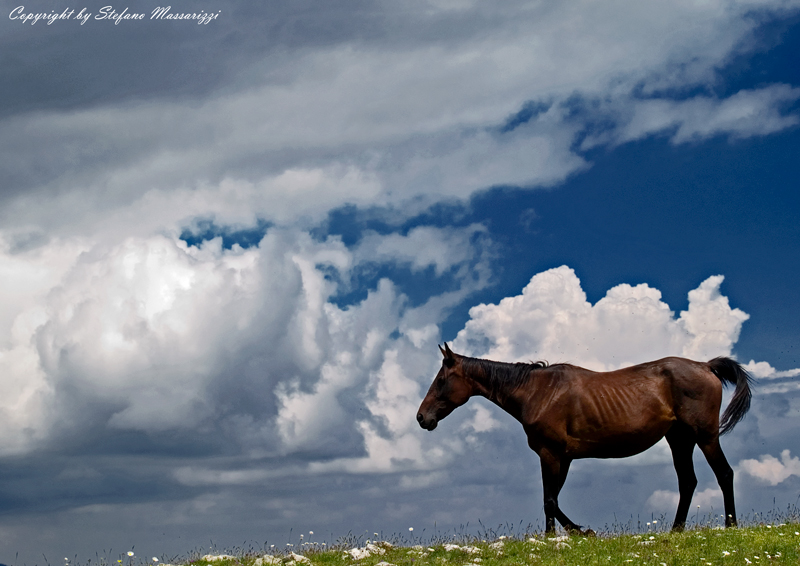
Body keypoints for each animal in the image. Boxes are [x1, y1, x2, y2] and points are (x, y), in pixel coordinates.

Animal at [416, 343, 753, 535]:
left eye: (442, 380)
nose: (422, 418)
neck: (537, 392)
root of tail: (705, 366)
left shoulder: (551, 454)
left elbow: (550, 500)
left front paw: (576, 532)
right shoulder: (561, 457)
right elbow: (549, 499)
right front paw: (555, 536)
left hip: (705, 436)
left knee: (724, 474)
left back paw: (731, 526)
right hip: (679, 440)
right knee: (688, 482)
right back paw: (676, 530)